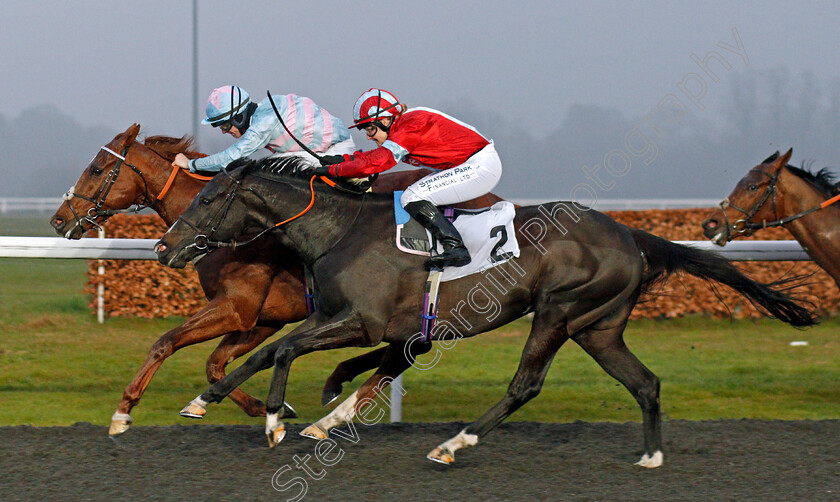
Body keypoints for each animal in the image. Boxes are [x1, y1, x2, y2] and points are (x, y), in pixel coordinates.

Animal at [49, 124, 502, 436]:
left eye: (97, 169)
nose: (58, 220)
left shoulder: (238, 308)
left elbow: (167, 342)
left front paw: (123, 411)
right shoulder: (262, 320)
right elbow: (215, 364)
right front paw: (262, 408)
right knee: (405, 346)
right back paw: (339, 381)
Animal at [153, 157, 812, 466]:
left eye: (209, 200)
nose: (164, 247)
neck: (339, 228)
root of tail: (631, 234)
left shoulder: (362, 322)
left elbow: (286, 348)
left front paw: (274, 421)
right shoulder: (348, 320)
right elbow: (268, 350)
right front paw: (204, 400)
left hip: (558, 311)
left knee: (526, 384)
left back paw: (454, 443)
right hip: (598, 327)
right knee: (645, 382)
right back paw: (650, 455)